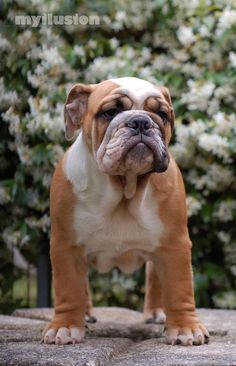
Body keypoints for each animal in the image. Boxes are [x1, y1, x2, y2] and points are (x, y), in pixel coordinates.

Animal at [42, 76, 208, 346]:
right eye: (110, 112)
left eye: (162, 114)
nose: (141, 121)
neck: (124, 187)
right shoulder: (66, 245)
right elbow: (69, 288)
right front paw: (65, 326)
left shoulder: (175, 244)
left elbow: (180, 288)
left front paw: (185, 327)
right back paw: (85, 314)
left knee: (155, 277)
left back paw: (156, 313)